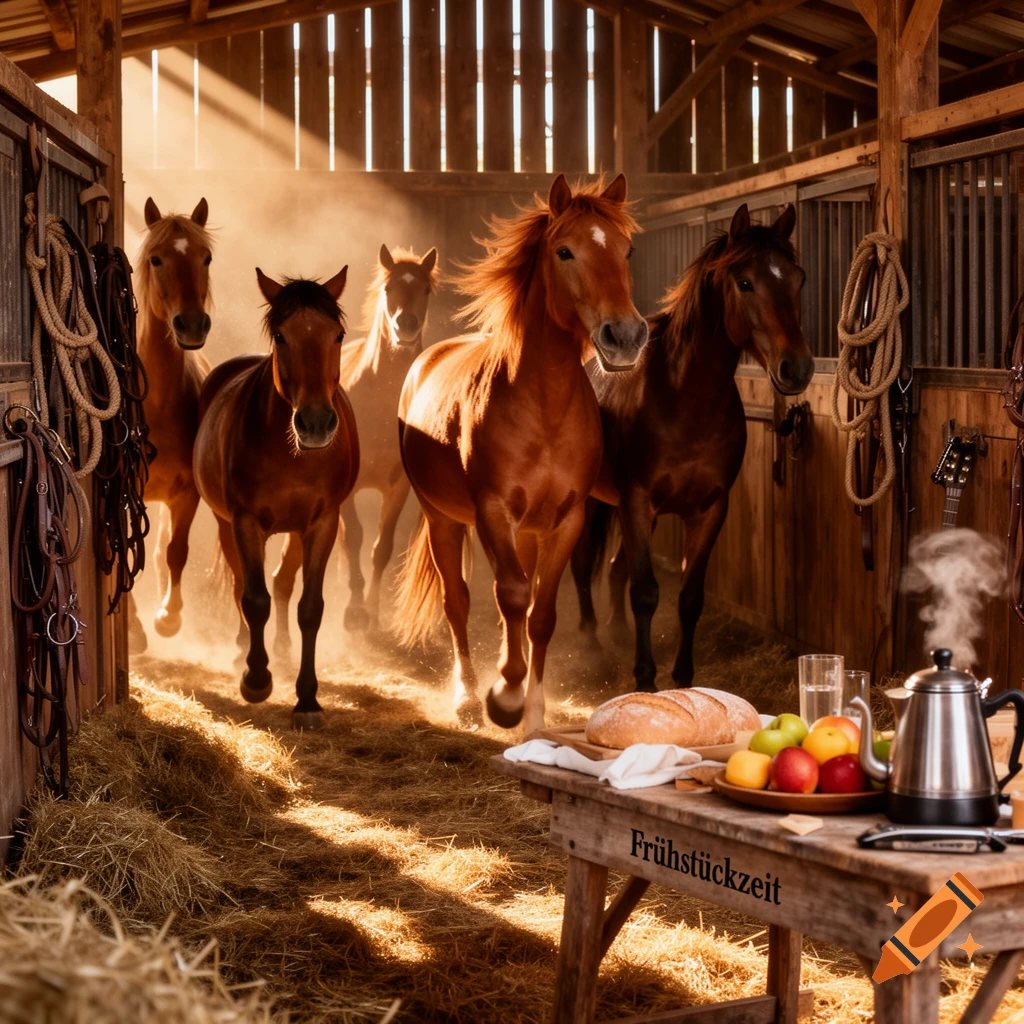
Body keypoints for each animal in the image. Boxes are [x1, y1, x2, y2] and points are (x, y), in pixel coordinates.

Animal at [193, 268, 359, 729]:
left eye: (338, 335)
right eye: (282, 337)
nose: (316, 423)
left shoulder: (322, 523)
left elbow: (309, 608)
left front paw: (307, 699)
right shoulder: (246, 521)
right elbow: (254, 599)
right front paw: (256, 679)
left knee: (283, 582)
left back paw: (282, 654)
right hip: (227, 525)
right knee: (241, 587)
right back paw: (245, 656)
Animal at [271, 244, 438, 649]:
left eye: (425, 290)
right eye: (389, 288)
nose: (406, 325)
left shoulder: (398, 487)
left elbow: (381, 548)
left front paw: (372, 616)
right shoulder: (344, 492)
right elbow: (356, 540)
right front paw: (354, 613)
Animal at [394, 174, 648, 733]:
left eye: (628, 250)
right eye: (565, 251)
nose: (625, 336)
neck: (543, 406)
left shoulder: (566, 520)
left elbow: (540, 613)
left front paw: (533, 713)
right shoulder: (493, 513)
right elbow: (508, 596)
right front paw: (505, 697)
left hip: (528, 533)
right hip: (442, 519)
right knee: (457, 601)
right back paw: (468, 697)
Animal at [570, 203, 814, 692]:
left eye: (797, 279)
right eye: (745, 282)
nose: (796, 368)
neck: (684, 400)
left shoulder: (708, 509)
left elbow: (689, 596)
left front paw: (683, 679)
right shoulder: (637, 501)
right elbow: (646, 593)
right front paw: (645, 679)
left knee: (615, 568)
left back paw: (618, 634)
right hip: (592, 504)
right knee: (584, 567)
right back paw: (591, 645)